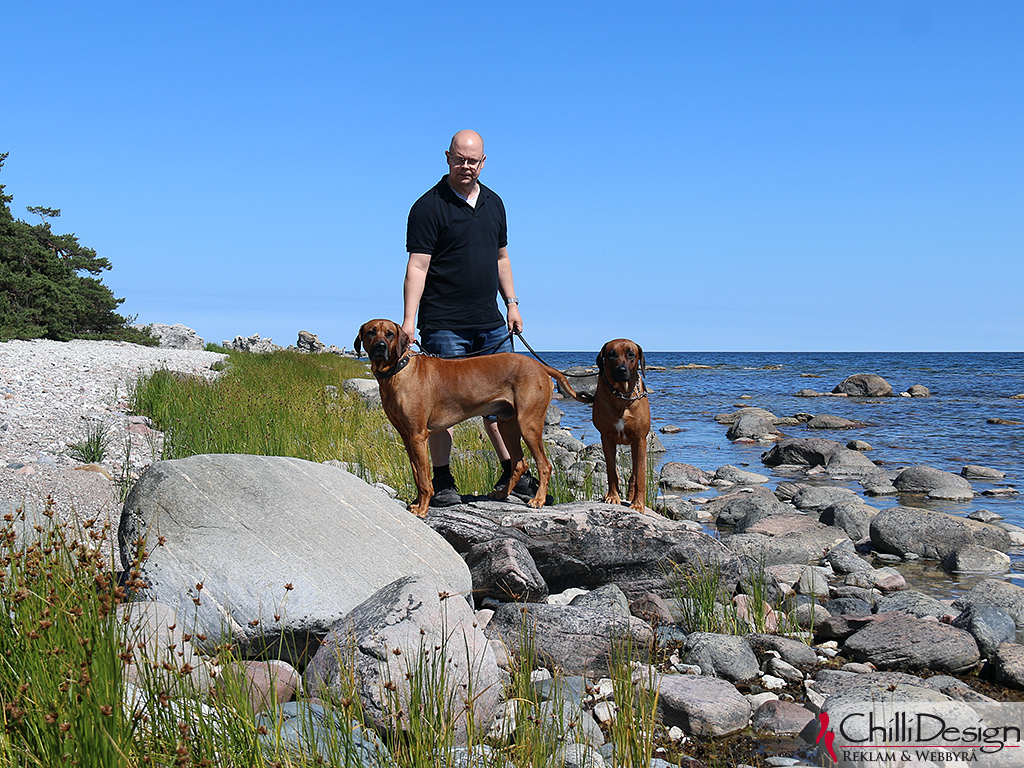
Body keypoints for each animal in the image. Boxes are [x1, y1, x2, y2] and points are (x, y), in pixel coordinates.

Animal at [354, 319, 577, 518]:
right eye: (371, 332)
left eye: (390, 333)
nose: (381, 347)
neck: (399, 369)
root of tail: (540, 366)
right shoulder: (406, 436)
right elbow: (417, 474)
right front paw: (417, 504)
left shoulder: (418, 436)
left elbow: (425, 480)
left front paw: (423, 509)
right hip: (506, 424)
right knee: (519, 463)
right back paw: (502, 494)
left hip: (528, 424)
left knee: (544, 465)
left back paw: (538, 499)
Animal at [593, 339, 647, 514]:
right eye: (611, 354)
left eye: (631, 354)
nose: (621, 370)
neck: (622, 396)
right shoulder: (606, 438)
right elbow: (611, 471)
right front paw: (612, 496)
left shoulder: (640, 439)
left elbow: (640, 475)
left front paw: (638, 503)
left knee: (635, 474)